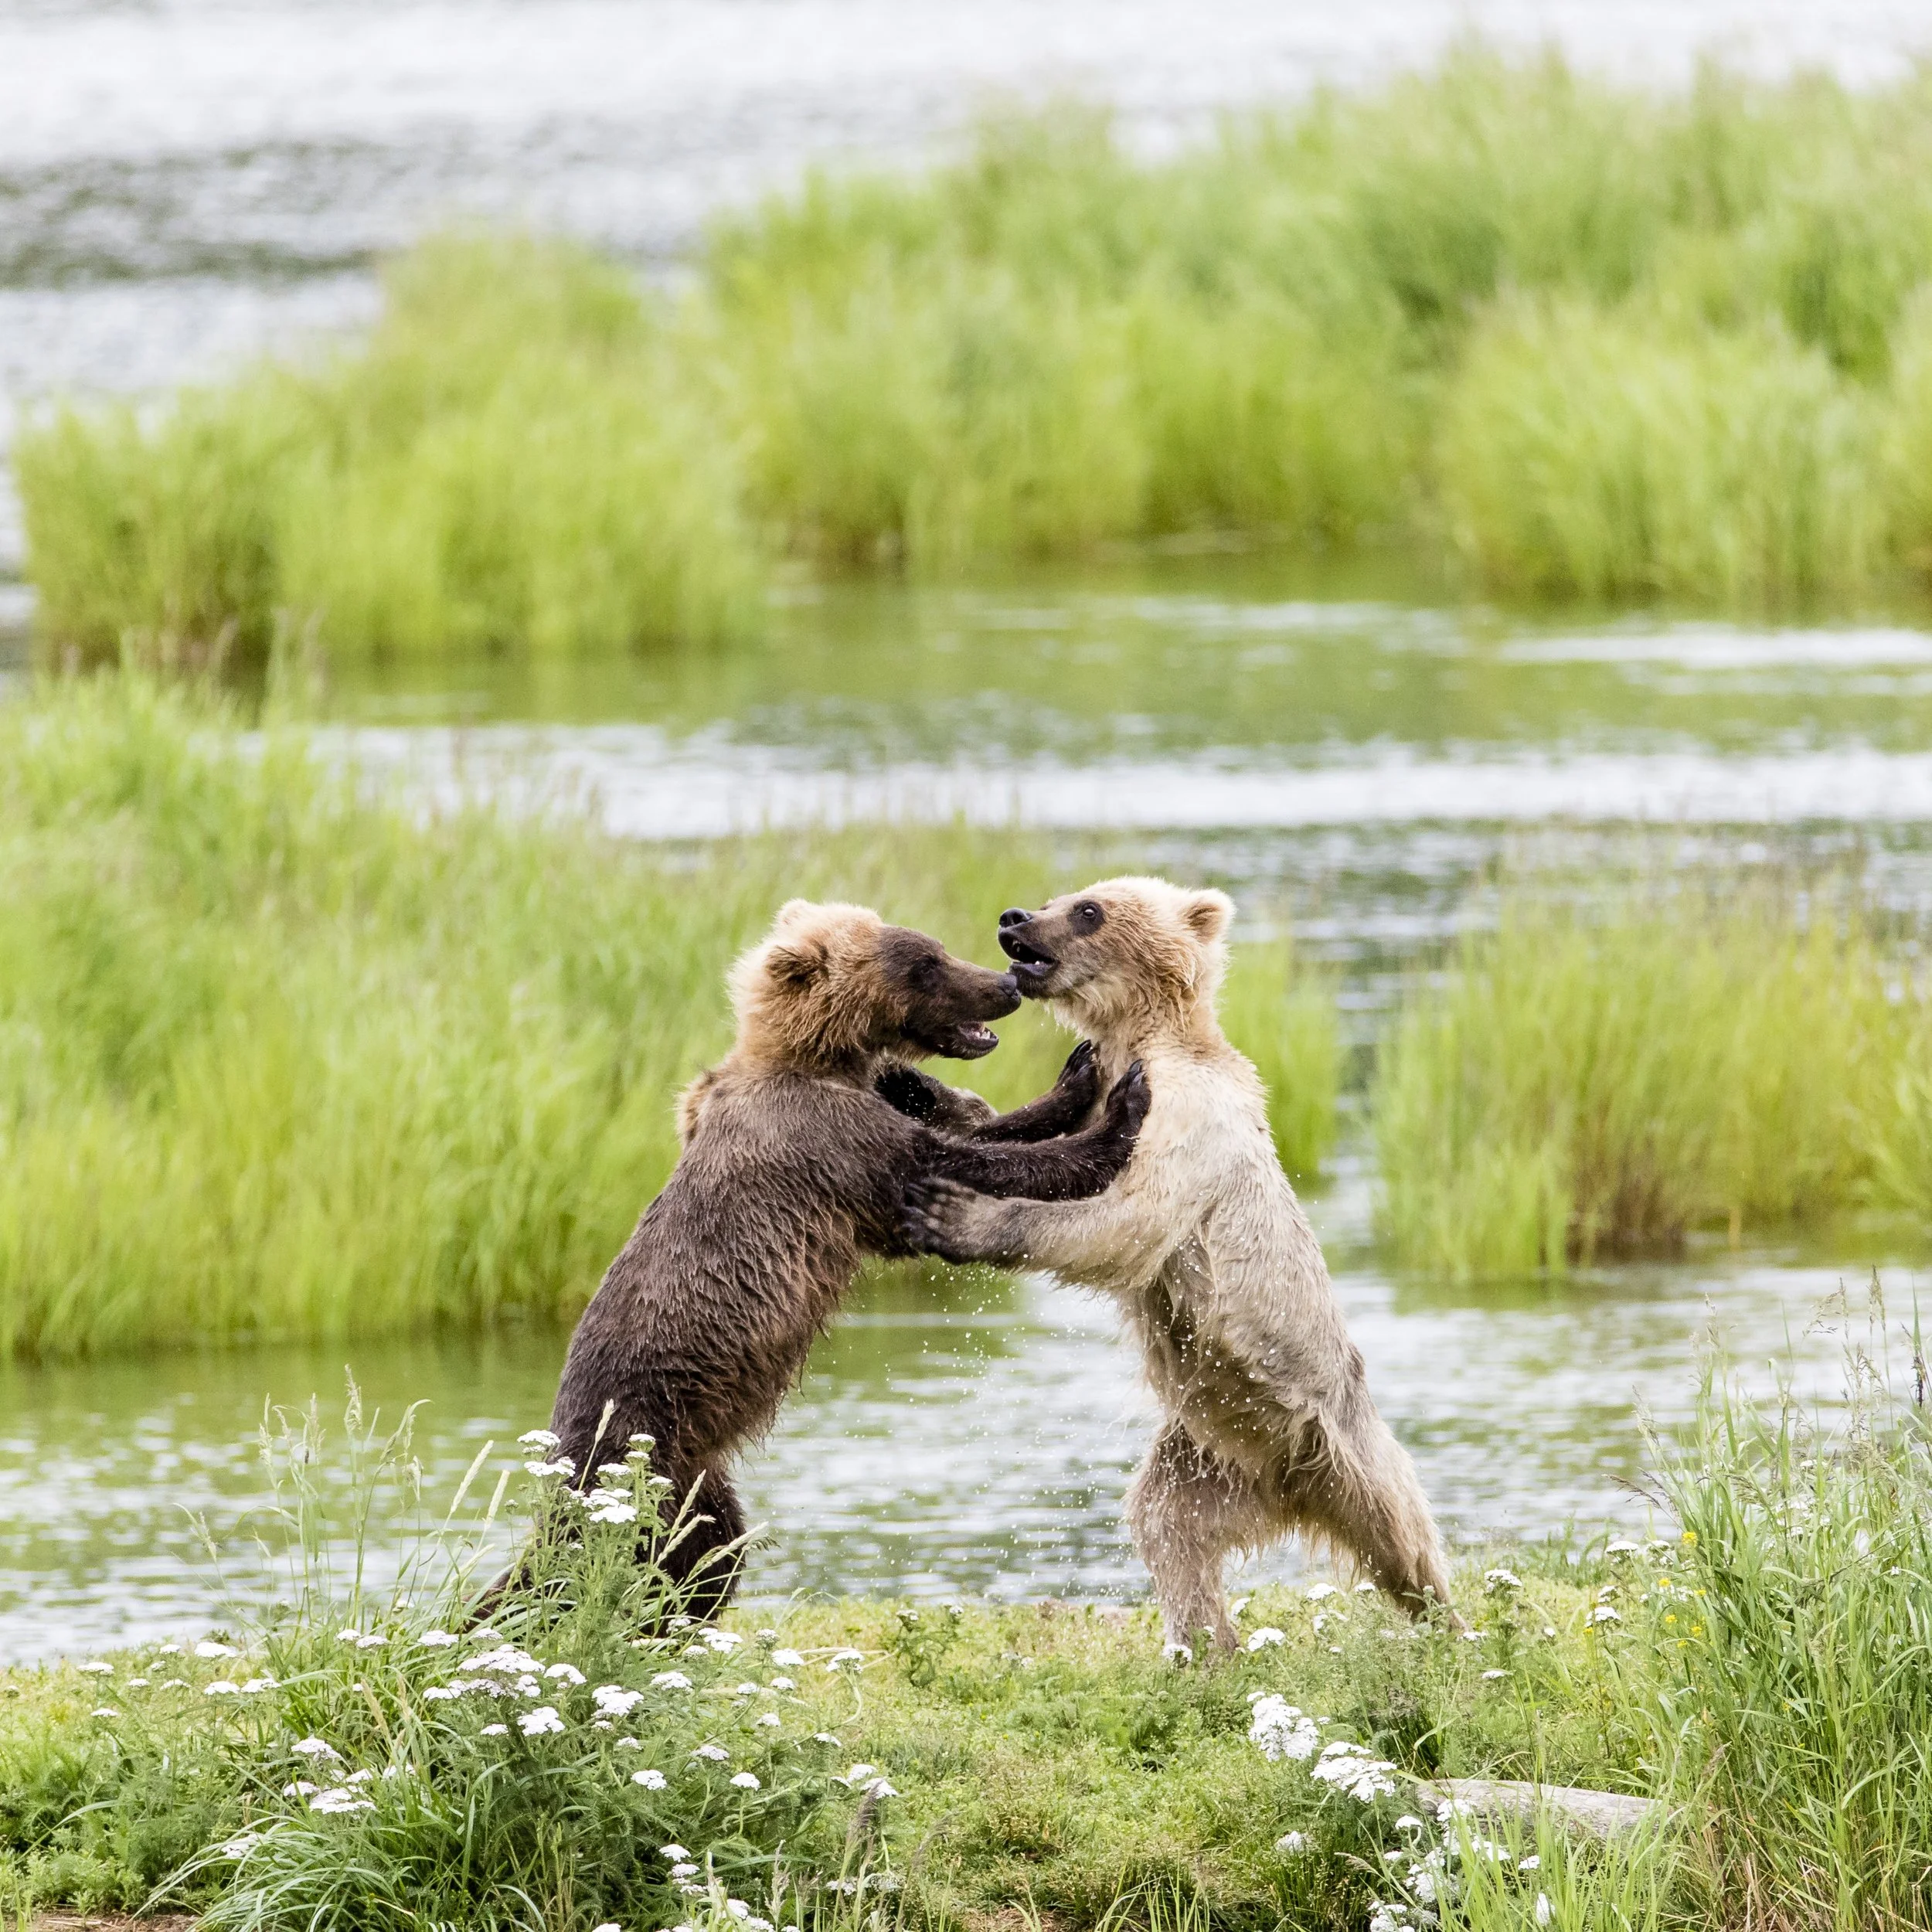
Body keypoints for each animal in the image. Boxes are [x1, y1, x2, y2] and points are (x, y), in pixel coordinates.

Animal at [542, 897, 1150, 1618]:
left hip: (697, 1483)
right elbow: (958, 1162)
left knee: (710, 1557)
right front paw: (1116, 1106)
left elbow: (975, 1132)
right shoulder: (829, 1141)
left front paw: (1073, 1078)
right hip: (642, 1457)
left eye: (934, 947)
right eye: (925, 965)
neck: (823, 1060)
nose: (1003, 984)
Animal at [898, 876, 1454, 1650]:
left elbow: (1129, 1220)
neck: (1142, 1038)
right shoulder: (1108, 1096)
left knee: (1405, 1534)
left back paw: (1452, 1626)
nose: (1015, 919)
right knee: (1168, 1524)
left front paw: (955, 1215)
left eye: (1089, 911)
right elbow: (1020, 1138)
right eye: (1060, 896)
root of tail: (1293, 1492)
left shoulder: (1185, 1113)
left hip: (1340, 1433)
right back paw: (1207, 1646)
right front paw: (920, 1090)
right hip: (1209, 1456)